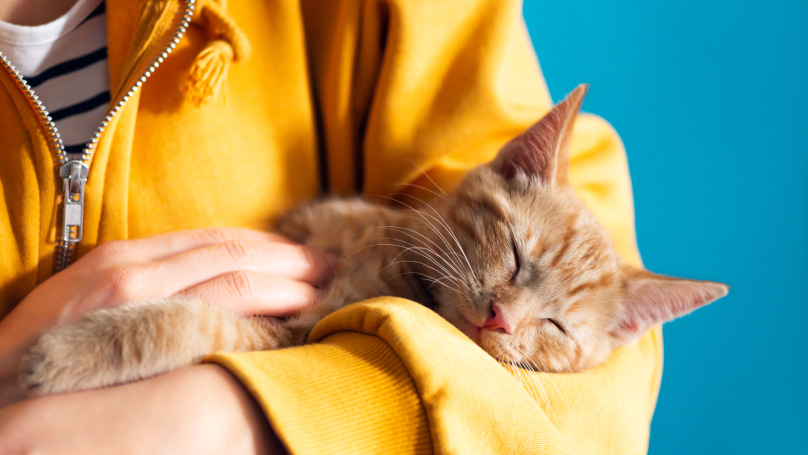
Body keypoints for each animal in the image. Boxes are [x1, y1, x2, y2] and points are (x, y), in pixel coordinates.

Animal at [19, 84, 728, 396]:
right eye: (515, 252)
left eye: (556, 328)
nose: (502, 318)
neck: (391, 259)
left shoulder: (290, 334)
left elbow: (187, 321)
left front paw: (66, 353)